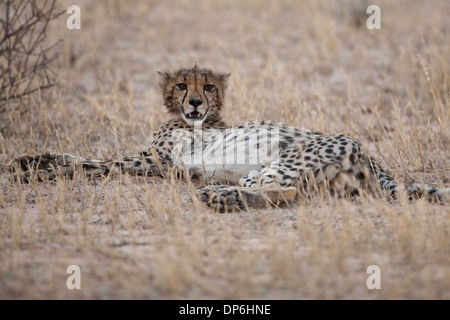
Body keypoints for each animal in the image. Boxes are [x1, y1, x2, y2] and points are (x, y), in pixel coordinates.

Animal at [8, 64, 448, 212]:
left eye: (206, 87)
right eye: (182, 85)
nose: (196, 104)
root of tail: (376, 162)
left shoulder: (158, 161)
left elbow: (92, 162)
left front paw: (33, 169)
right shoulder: (161, 163)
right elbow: (86, 160)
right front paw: (30, 162)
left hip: (286, 157)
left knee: (282, 191)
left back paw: (218, 196)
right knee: (285, 193)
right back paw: (221, 195)